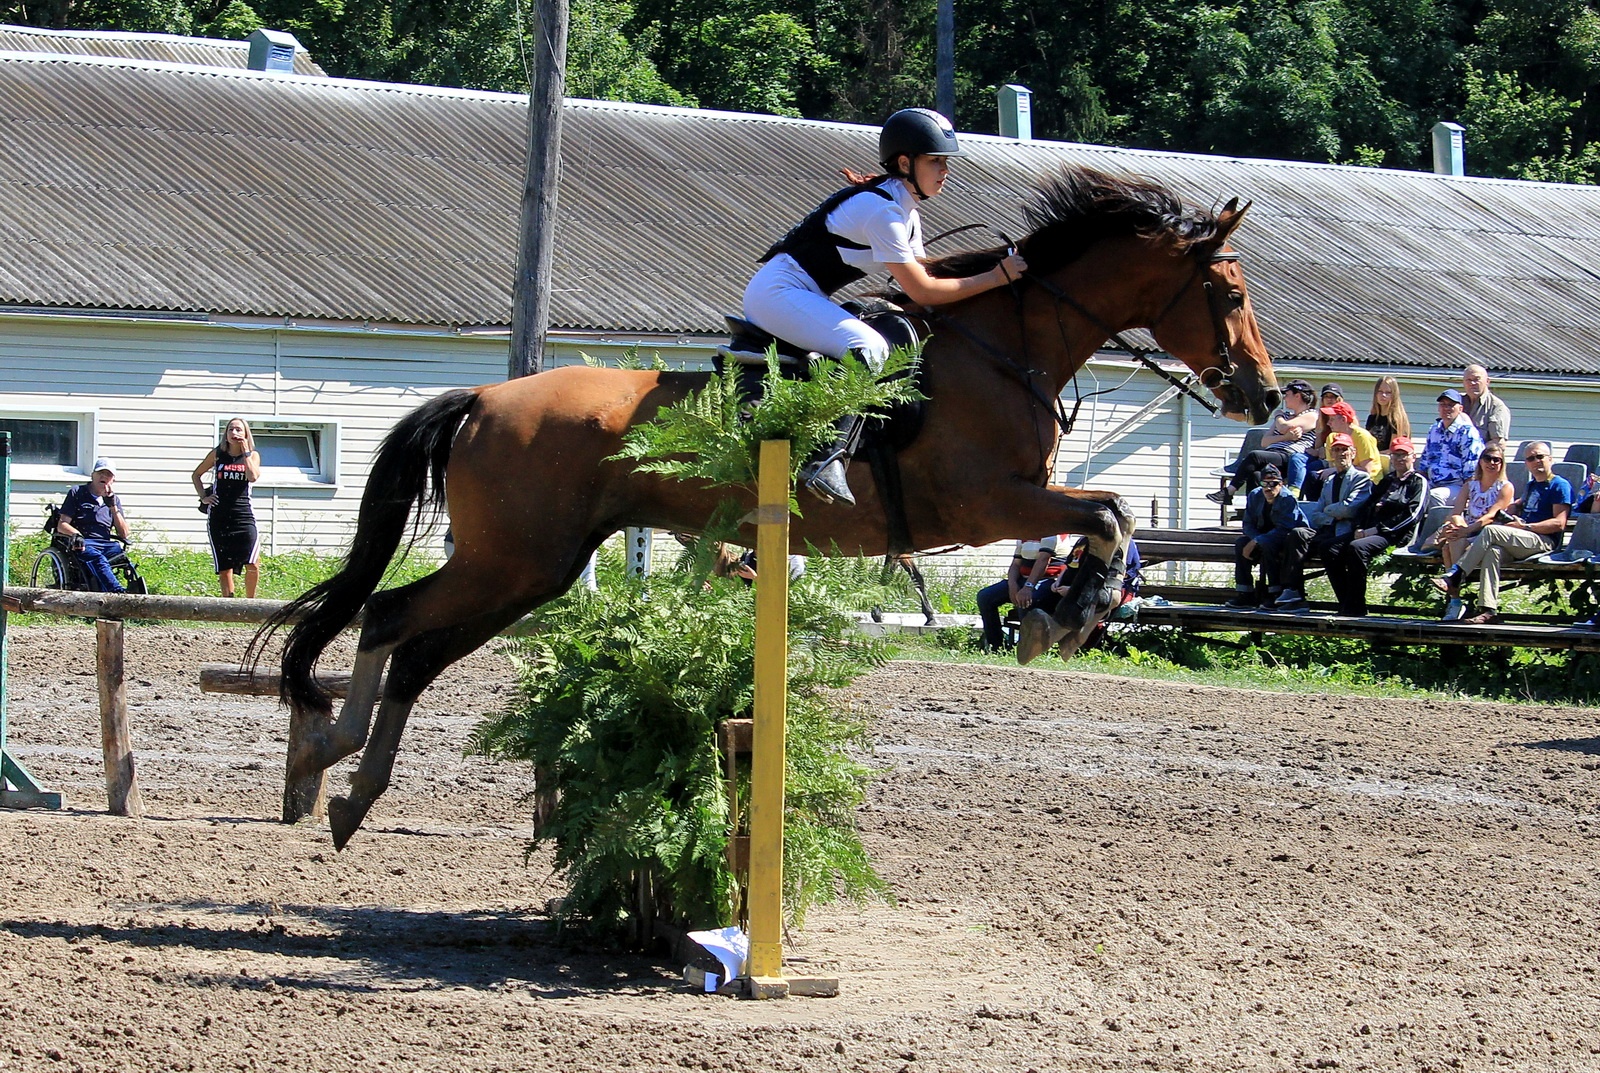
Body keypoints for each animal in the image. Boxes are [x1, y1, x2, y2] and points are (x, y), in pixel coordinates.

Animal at [268, 163, 1280, 850]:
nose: (1265, 397)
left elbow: (1113, 514)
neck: (1005, 346)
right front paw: (1065, 616)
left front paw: (1075, 611)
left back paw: (335, 774)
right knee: (393, 621)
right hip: (516, 561)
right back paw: (337, 765)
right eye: (1226, 291)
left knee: (406, 637)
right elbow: (1108, 513)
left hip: (531, 568)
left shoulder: (1009, 504)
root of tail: (483, 396)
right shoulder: (988, 503)